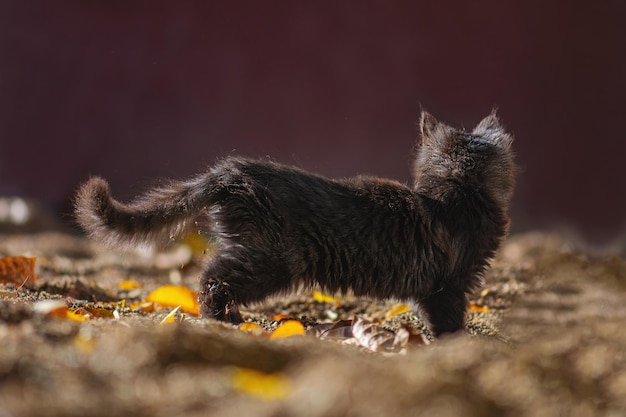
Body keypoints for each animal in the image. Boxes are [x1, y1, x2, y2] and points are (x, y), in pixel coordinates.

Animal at [74, 110, 512, 334]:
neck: (456, 188)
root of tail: (232, 171)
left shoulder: (433, 286)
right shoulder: (450, 283)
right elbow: (449, 318)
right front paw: (457, 342)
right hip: (273, 260)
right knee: (211, 276)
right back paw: (222, 318)